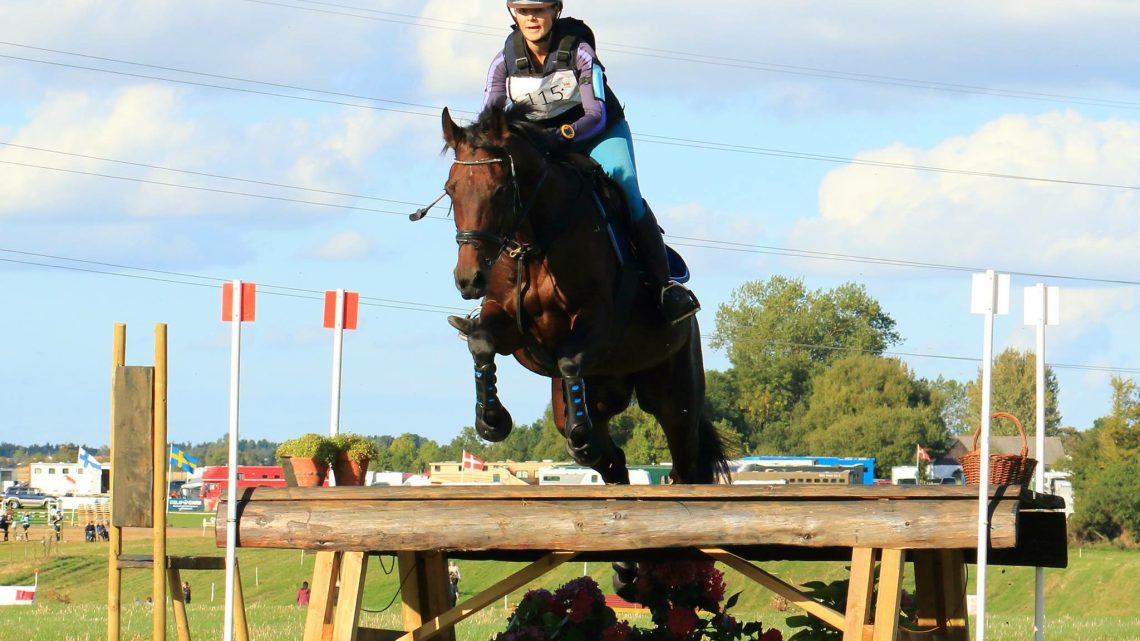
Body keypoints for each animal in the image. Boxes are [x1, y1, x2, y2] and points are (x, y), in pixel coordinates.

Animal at [430, 103, 725, 483]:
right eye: (451, 190)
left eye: (499, 190)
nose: (469, 279)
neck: (533, 244)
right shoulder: (509, 323)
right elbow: (482, 342)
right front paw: (492, 421)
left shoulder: (600, 319)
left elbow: (570, 358)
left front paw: (579, 434)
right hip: (597, 392)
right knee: (612, 459)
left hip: (674, 392)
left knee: (684, 459)